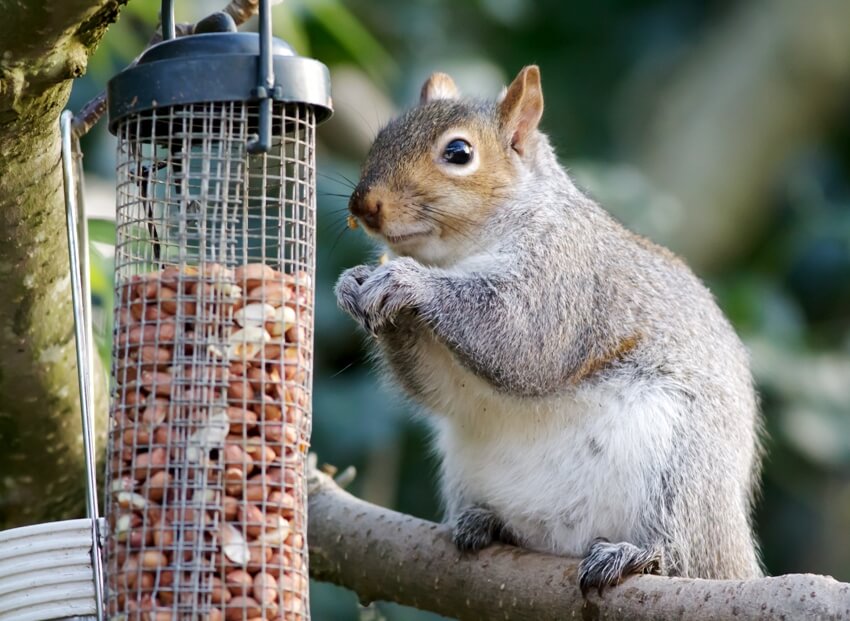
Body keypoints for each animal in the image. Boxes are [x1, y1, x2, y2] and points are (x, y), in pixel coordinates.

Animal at [332, 64, 760, 592]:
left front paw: (405, 280)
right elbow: (440, 388)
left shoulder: (564, 275)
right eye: (382, 136)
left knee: (680, 549)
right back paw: (487, 523)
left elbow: (518, 337)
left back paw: (637, 554)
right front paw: (352, 283)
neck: (459, 254)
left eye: (459, 153)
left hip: (682, 469)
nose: (363, 205)